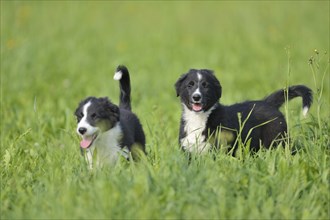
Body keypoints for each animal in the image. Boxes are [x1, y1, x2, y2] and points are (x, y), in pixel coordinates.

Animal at [174, 68, 314, 153]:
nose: (196, 97)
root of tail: (268, 102)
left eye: (205, 86)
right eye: (190, 85)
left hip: (278, 139)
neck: (200, 118)